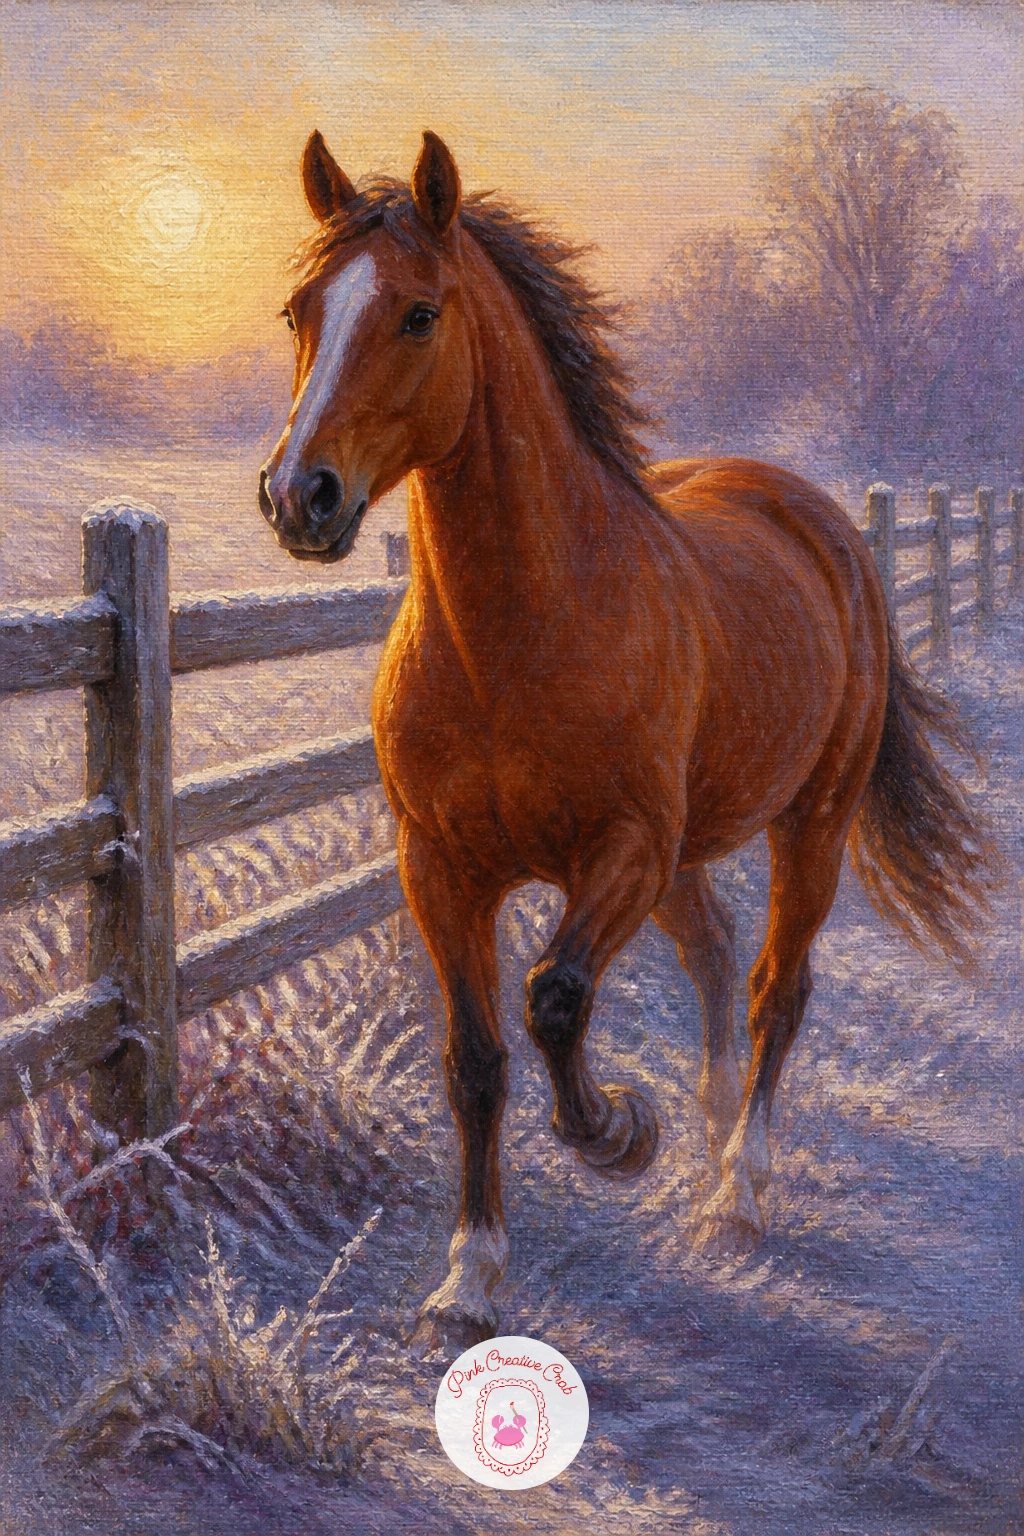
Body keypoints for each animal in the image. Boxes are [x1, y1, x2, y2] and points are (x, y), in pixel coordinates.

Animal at [258, 129, 991, 1357]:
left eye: (418, 314)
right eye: (300, 310)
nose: (297, 498)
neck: (519, 634)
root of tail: (820, 519)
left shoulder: (623, 850)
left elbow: (554, 997)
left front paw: (615, 1133)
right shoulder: (439, 868)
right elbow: (475, 1062)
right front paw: (469, 1281)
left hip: (810, 825)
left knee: (774, 985)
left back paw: (737, 1188)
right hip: (691, 851)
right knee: (714, 953)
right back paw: (707, 1135)